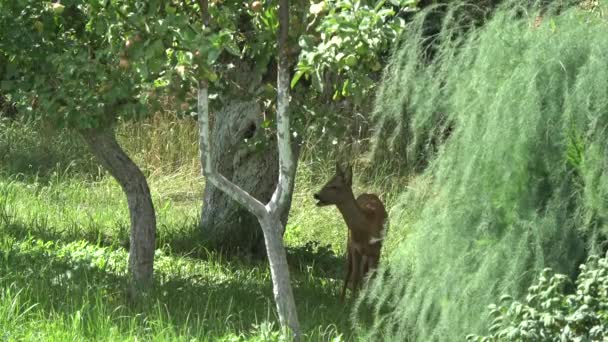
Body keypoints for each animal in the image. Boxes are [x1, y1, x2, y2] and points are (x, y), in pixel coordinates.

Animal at [314, 162, 390, 300]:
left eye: (334, 186)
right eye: (327, 181)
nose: (316, 195)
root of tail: (369, 194)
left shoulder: (376, 251)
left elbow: (372, 278)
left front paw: (368, 301)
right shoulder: (355, 248)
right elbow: (354, 276)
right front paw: (352, 301)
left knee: (364, 273)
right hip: (348, 242)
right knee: (350, 271)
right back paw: (342, 298)